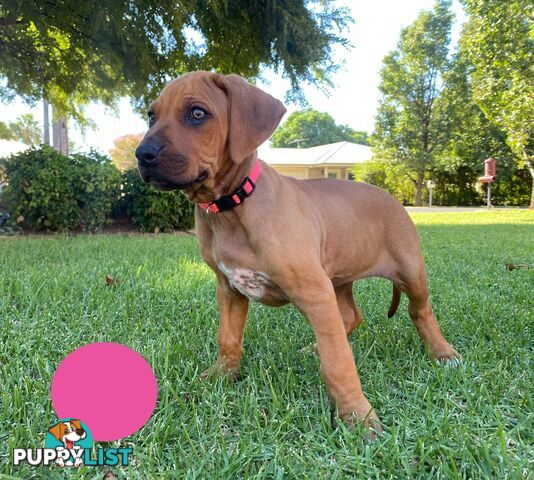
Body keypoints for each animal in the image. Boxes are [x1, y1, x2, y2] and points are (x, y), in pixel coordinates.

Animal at [136, 71, 462, 438]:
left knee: (419, 311)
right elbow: (228, 338)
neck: (232, 206)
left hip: (409, 270)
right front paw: (222, 376)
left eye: (196, 113)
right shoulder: (230, 288)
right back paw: (315, 346)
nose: (142, 153)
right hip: (337, 278)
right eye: (151, 116)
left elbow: (338, 361)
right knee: (350, 317)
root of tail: (392, 196)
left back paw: (443, 353)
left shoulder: (313, 291)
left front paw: (357, 415)